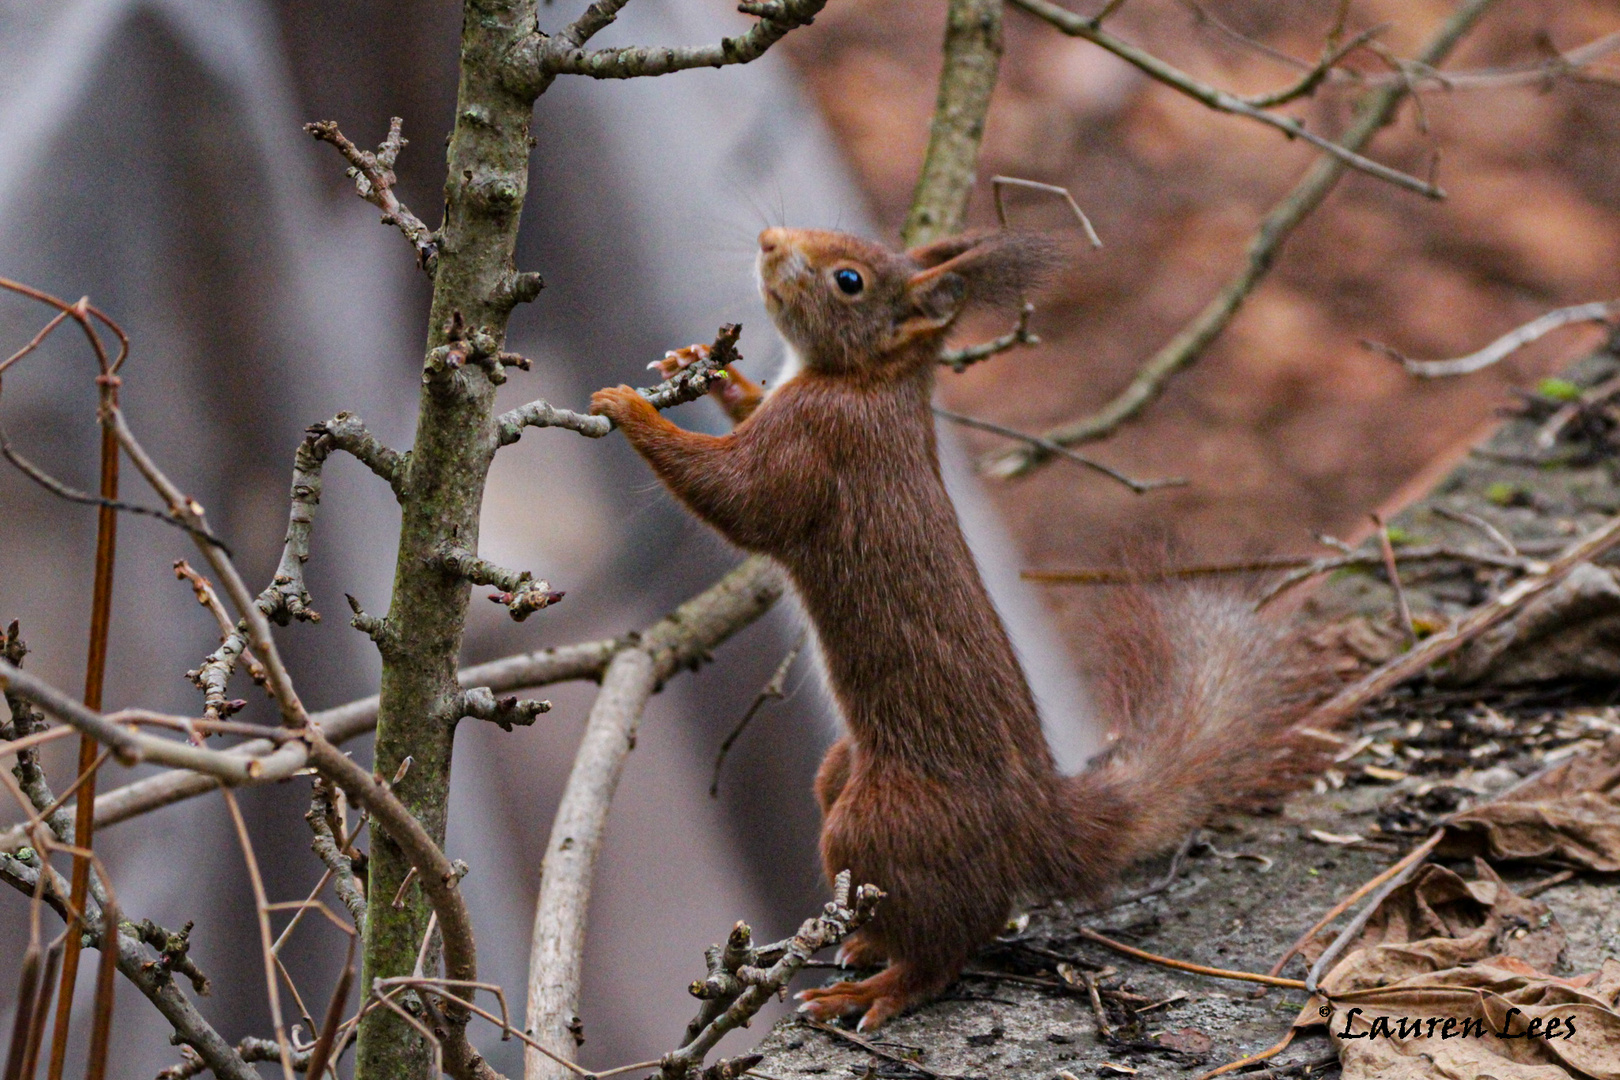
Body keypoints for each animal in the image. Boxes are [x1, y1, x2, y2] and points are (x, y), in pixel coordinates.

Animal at [589, 226, 1321, 1029]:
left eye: (849, 279)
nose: (769, 239)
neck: (874, 382)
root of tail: (1036, 822)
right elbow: (747, 419)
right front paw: (703, 368)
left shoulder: (819, 440)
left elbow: (742, 499)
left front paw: (633, 412)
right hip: (843, 775)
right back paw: (868, 942)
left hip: (880, 825)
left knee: (948, 949)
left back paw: (873, 988)